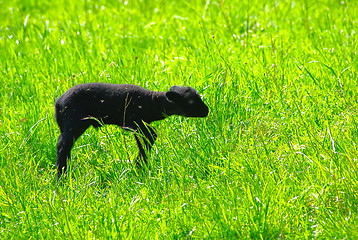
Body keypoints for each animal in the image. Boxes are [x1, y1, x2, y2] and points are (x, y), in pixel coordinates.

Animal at [54, 83, 208, 177]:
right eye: (190, 101)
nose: (206, 111)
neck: (153, 102)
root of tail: (58, 102)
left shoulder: (141, 123)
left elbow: (150, 137)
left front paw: (140, 165)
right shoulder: (133, 122)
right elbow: (147, 138)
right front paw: (140, 166)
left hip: (66, 123)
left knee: (65, 146)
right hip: (74, 121)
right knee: (62, 145)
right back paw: (61, 176)